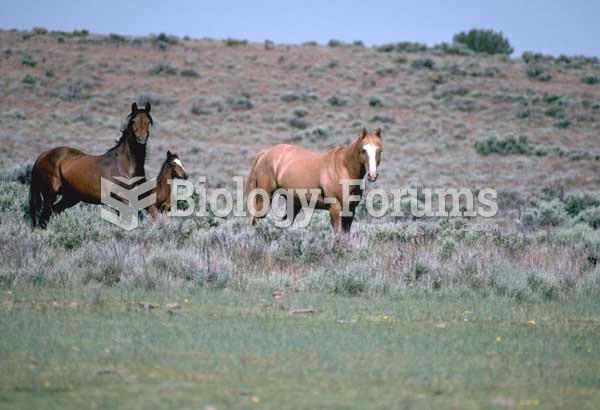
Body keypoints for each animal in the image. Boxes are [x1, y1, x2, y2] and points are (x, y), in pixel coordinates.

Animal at [245, 126, 382, 232]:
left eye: (379, 150)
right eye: (363, 150)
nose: (372, 175)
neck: (344, 169)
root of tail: (265, 153)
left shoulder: (351, 210)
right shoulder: (335, 208)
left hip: (293, 202)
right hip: (264, 198)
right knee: (256, 221)